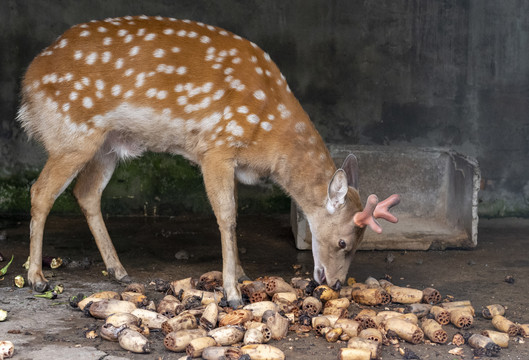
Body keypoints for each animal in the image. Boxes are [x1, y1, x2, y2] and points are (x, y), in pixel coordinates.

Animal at [16, 14, 398, 306]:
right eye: (343, 242)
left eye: (361, 243)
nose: (335, 283)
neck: (269, 128)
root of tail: (28, 85)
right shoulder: (216, 147)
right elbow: (227, 216)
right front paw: (233, 292)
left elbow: (234, 214)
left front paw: (242, 274)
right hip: (72, 134)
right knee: (40, 191)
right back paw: (37, 277)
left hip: (108, 144)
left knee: (86, 193)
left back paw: (119, 270)